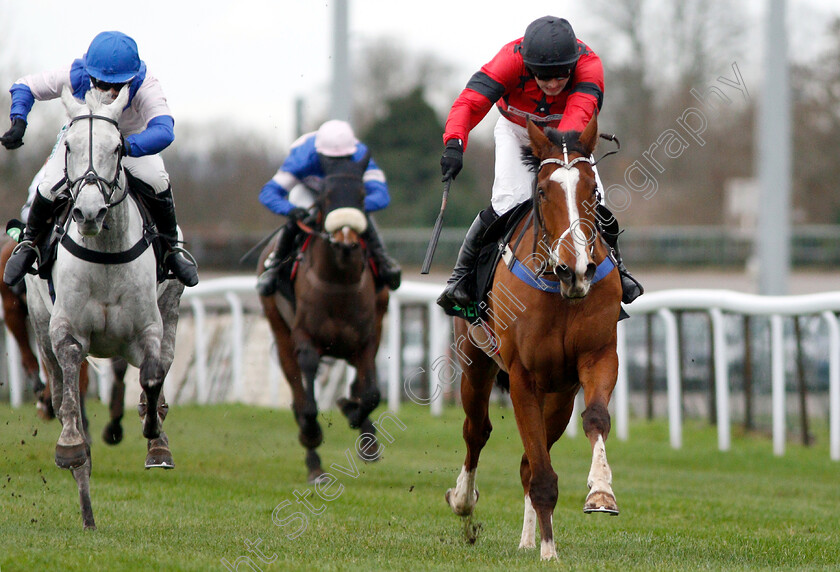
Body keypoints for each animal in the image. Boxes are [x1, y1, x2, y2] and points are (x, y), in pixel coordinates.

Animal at [24, 87, 184, 528]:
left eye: (117, 148)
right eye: (68, 146)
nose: (89, 212)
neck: (106, 252)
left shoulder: (147, 329)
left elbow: (152, 376)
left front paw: (155, 438)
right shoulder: (65, 331)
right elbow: (70, 404)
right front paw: (71, 448)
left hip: (171, 306)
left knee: (162, 366)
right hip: (39, 322)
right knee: (61, 395)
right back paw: (86, 506)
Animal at [258, 152, 388, 482]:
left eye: (362, 195)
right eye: (327, 196)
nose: (346, 241)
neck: (338, 282)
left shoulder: (366, 339)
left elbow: (371, 393)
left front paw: (355, 418)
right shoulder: (305, 338)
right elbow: (307, 400)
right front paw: (312, 434)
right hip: (279, 329)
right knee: (298, 392)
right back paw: (314, 462)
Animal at [446, 118, 624, 560]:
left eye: (592, 191)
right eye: (543, 191)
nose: (576, 269)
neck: (560, 291)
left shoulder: (597, 357)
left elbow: (595, 418)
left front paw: (601, 493)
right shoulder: (522, 375)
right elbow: (539, 470)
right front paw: (549, 552)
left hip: (558, 395)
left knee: (529, 458)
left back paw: (529, 538)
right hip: (476, 365)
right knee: (477, 431)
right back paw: (464, 502)